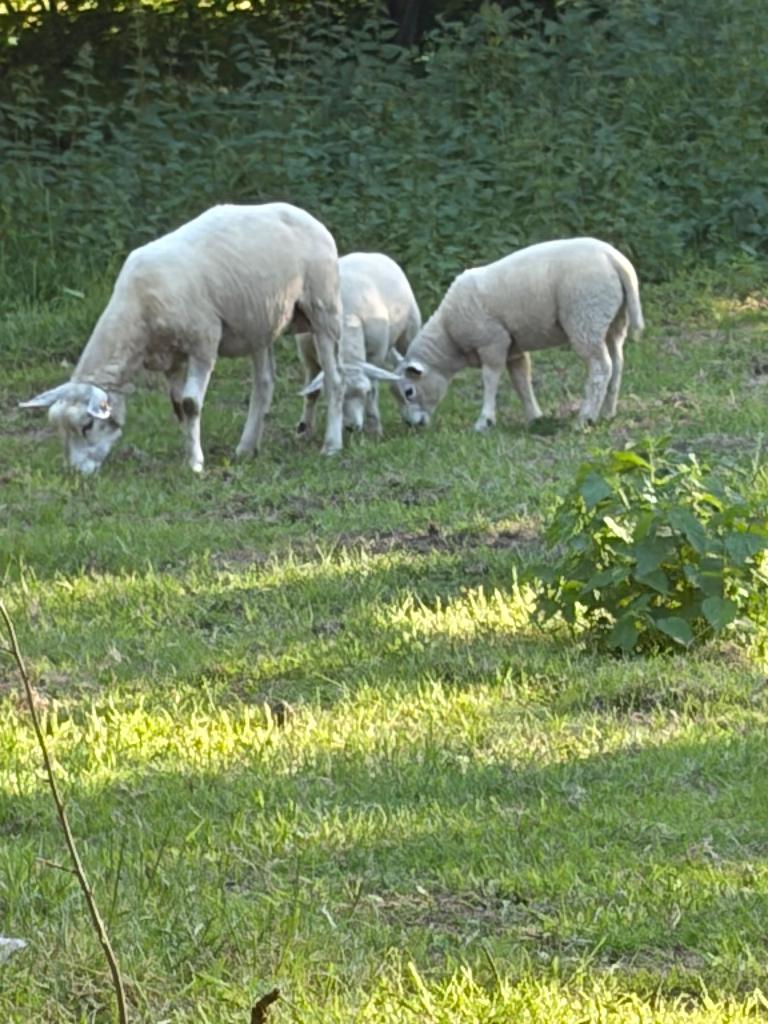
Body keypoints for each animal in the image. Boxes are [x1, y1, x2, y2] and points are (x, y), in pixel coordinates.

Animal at [19, 202, 344, 474]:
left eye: (87, 425)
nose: (76, 473)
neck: (136, 312)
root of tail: (306, 215)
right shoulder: (169, 358)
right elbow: (177, 406)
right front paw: (188, 453)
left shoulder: (204, 342)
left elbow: (190, 404)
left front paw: (195, 464)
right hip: (260, 322)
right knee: (264, 384)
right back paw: (246, 447)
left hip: (323, 307)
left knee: (334, 380)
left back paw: (331, 446)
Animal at [296, 251, 422, 436]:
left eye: (364, 392)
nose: (351, 427)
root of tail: (370, 253)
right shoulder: (308, 358)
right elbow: (311, 393)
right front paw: (304, 430)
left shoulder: (376, 354)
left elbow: (374, 392)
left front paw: (374, 428)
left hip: (409, 332)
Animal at [394, 237, 644, 431]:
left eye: (409, 392)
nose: (410, 425)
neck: (449, 337)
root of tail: (615, 260)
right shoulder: (513, 348)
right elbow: (521, 381)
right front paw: (535, 416)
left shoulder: (492, 341)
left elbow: (490, 379)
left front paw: (485, 421)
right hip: (613, 321)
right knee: (617, 363)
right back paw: (607, 412)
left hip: (585, 317)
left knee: (601, 367)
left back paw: (585, 418)